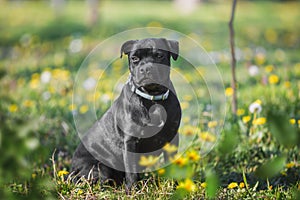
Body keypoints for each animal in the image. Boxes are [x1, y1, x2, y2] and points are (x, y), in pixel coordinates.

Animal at [71, 38, 182, 191]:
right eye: (134, 58)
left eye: (159, 56)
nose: (145, 68)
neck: (152, 98)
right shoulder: (130, 142)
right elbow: (132, 171)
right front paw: (133, 190)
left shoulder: (172, 139)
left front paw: (174, 186)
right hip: (100, 169)